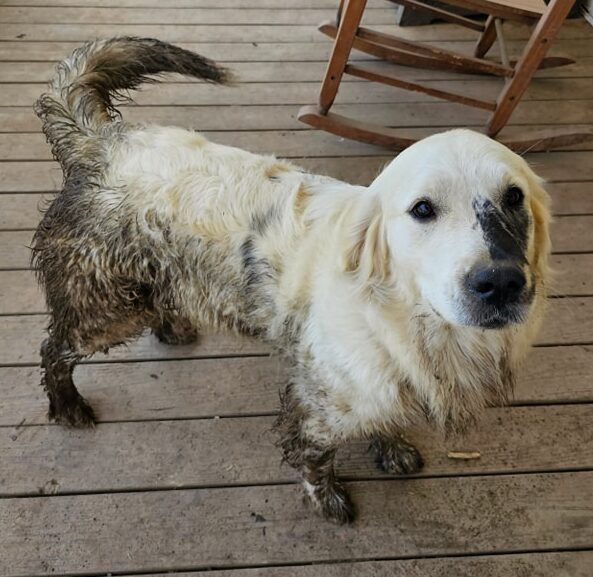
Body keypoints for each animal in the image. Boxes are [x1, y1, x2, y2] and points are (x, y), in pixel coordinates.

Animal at [32, 36, 552, 520]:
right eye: (422, 209)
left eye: (514, 197)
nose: (500, 282)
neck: (411, 320)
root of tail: (104, 143)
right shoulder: (319, 405)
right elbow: (315, 458)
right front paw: (328, 500)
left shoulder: (379, 384)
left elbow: (384, 420)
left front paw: (392, 448)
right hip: (105, 310)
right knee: (53, 349)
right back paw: (69, 407)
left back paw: (172, 328)